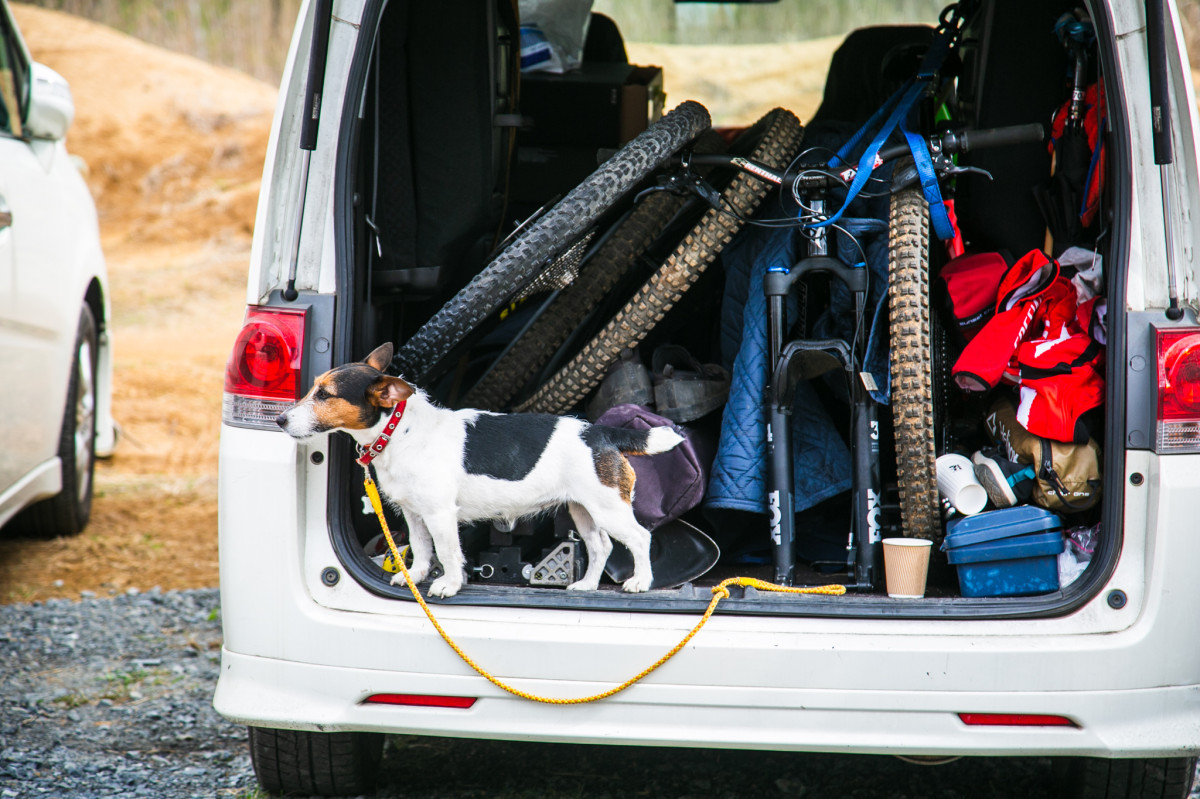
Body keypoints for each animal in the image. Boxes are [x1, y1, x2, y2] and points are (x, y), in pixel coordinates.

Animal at [274, 338, 686, 595]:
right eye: (314, 387)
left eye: (325, 395)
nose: (279, 420)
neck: (399, 430)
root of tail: (599, 431)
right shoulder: (414, 515)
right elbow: (420, 549)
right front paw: (416, 577)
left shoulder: (440, 515)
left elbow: (447, 553)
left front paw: (448, 584)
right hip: (582, 509)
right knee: (600, 546)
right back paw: (586, 585)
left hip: (608, 507)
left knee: (639, 538)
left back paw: (640, 582)